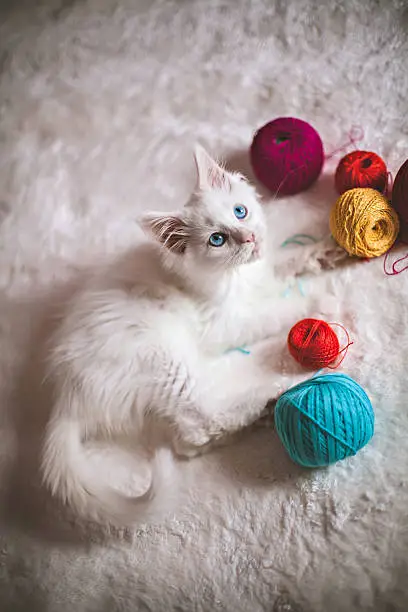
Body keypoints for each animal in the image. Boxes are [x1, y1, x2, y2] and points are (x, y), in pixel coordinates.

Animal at [41, 146, 346, 524]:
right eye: (217, 240)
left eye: (240, 211)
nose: (249, 238)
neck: (235, 276)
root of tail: (65, 399)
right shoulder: (224, 321)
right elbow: (275, 311)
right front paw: (321, 306)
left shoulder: (261, 274)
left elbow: (285, 260)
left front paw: (328, 250)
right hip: (164, 360)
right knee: (199, 422)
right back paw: (273, 397)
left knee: (186, 443)